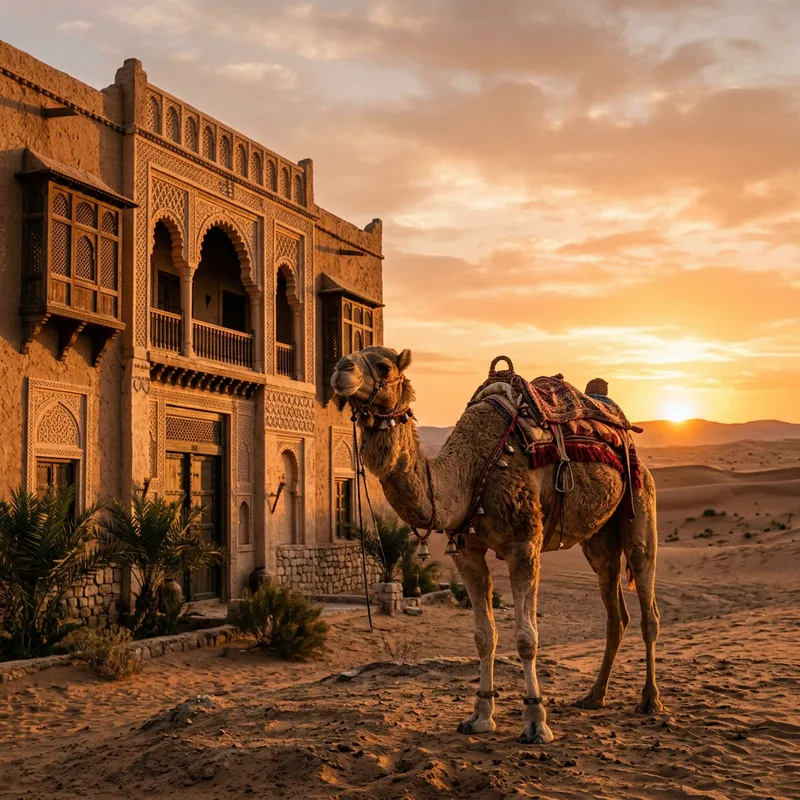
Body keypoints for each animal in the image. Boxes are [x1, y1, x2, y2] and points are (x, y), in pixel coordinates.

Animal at [331, 346, 663, 744]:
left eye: (383, 366)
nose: (340, 369)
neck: (469, 470)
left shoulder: (524, 544)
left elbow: (526, 637)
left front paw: (536, 721)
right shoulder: (467, 551)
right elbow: (483, 635)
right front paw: (479, 716)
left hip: (641, 503)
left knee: (647, 604)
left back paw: (650, 700)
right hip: (599, 541)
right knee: (616, 611)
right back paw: (594, 697)